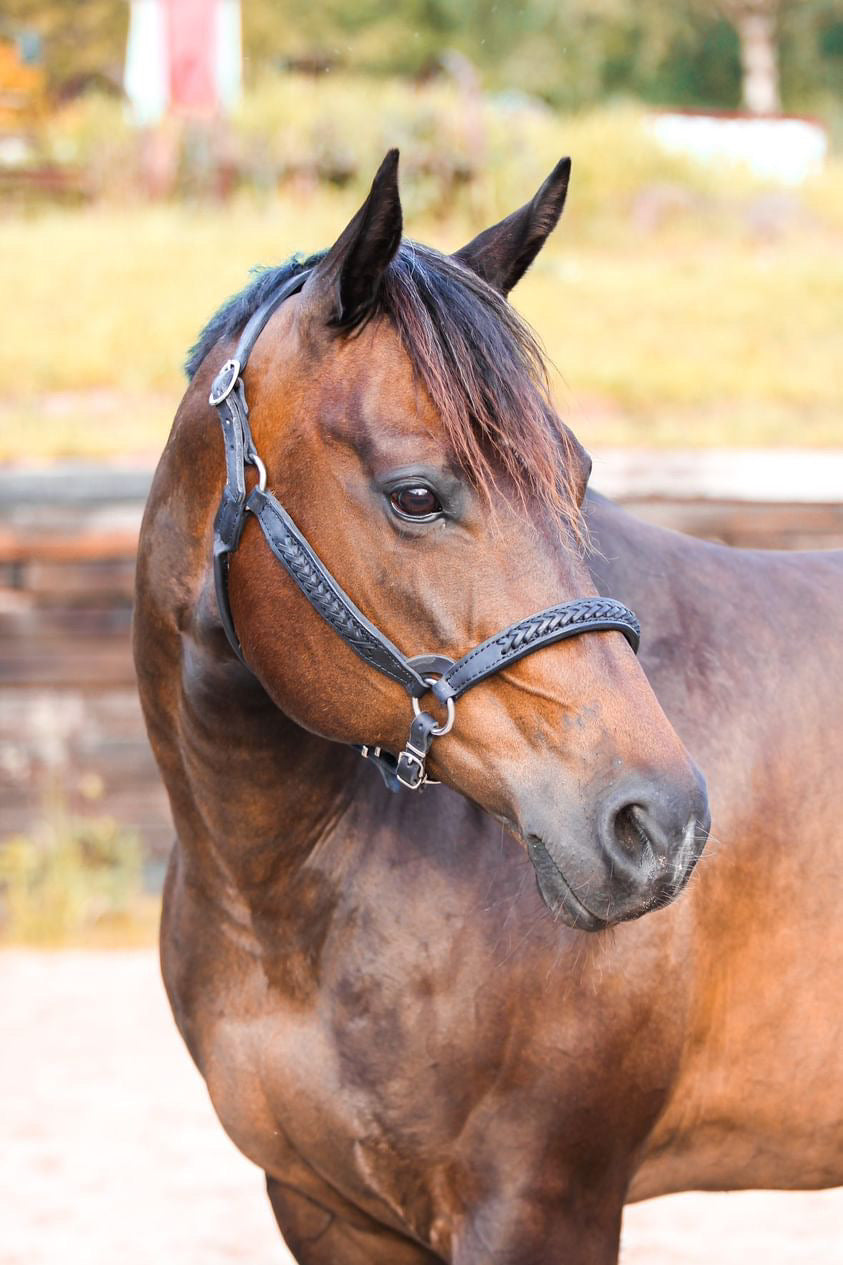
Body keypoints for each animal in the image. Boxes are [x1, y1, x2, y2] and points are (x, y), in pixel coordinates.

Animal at [134, 155, 835, 1265]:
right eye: (416, 494)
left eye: (576, 474)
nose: (660, 825)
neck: (286, 906)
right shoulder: (323, 1207)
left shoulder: (542, 1204)